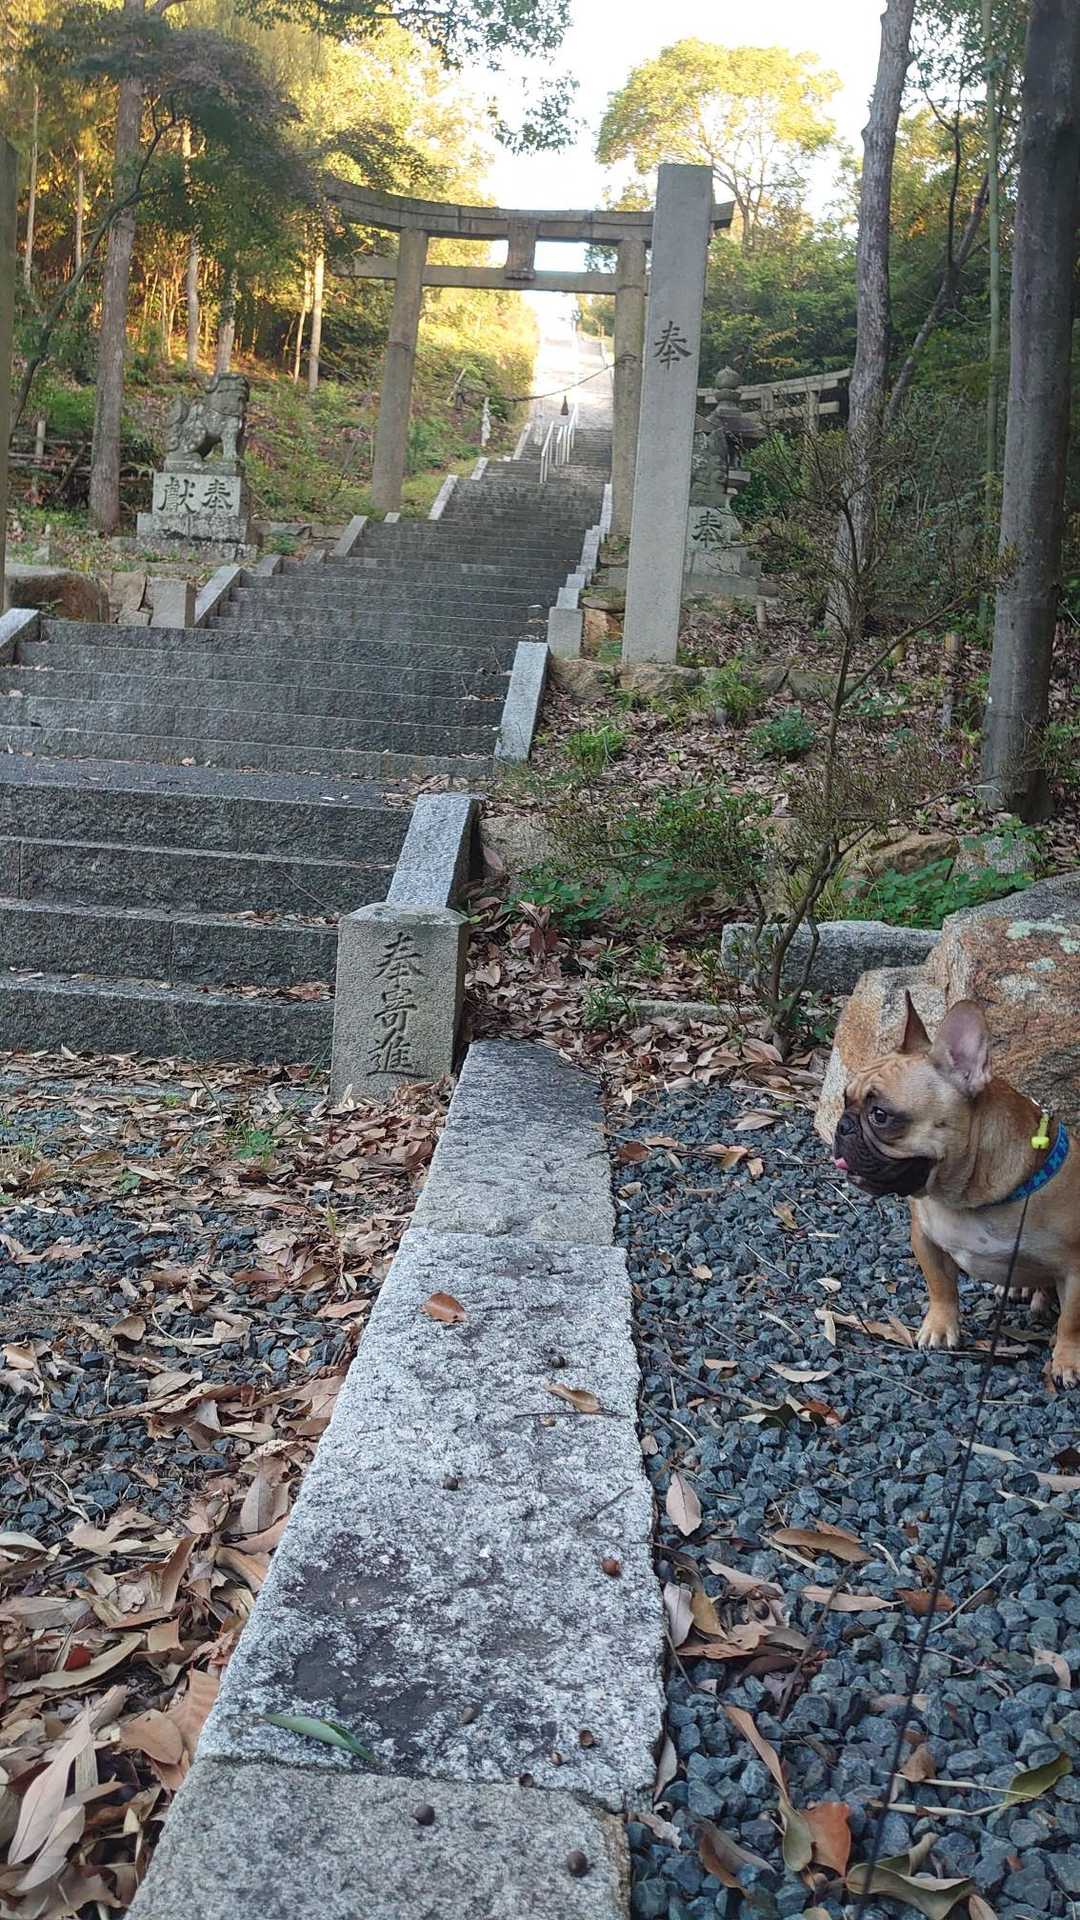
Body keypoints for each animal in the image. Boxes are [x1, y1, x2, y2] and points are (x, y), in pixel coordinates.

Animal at [833, 995, 1079, 1386]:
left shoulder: (1075, 1270)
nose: (842, 1126)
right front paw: (940, 1327)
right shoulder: (925, 1238)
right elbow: (941, 1287)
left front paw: (1068, 1360)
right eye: (845, 1099)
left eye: (881, 1115)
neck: (968, 1195)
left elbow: (1072, 1322)